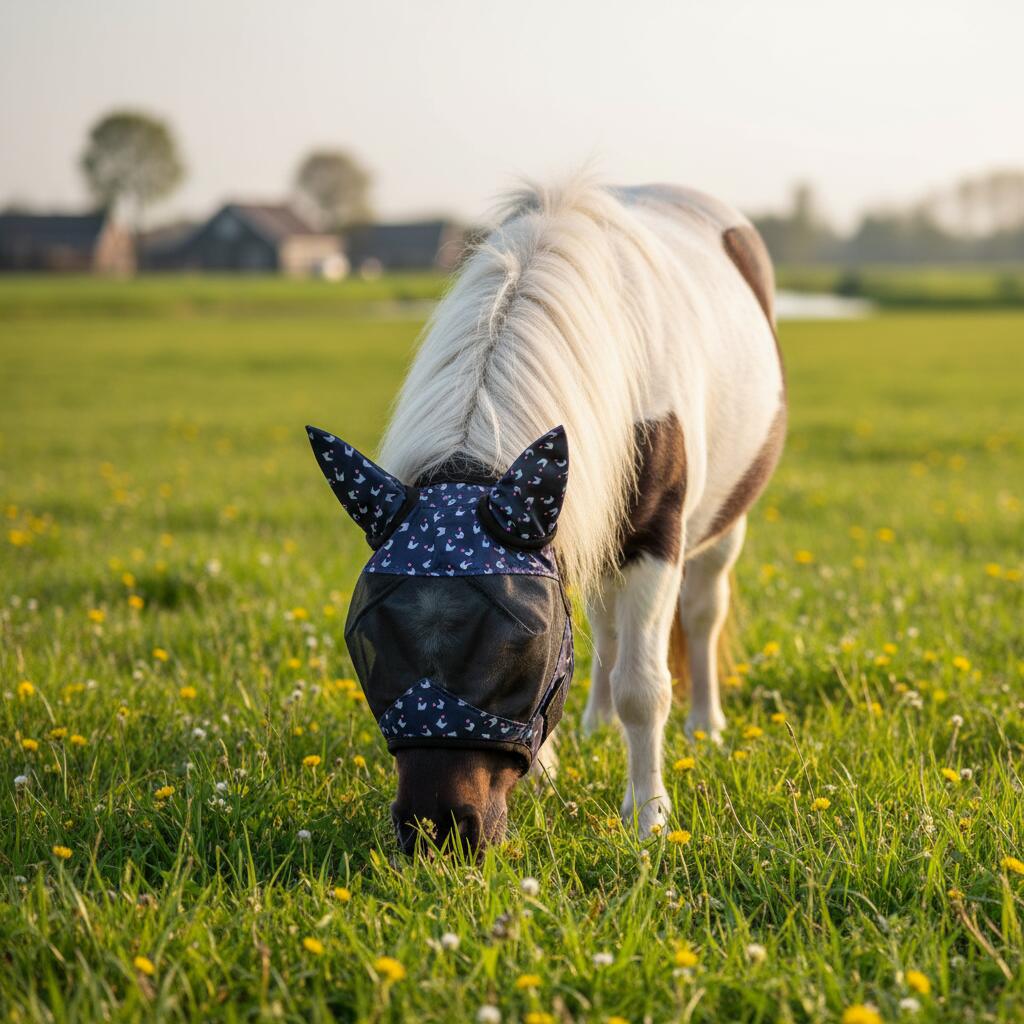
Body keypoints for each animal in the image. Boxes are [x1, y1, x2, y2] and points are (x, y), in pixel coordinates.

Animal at [307, 177, 785, 854]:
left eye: (520, 647)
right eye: (366, 639)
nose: (437, 830)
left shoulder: (656, 541)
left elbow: (645, 686)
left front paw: (648, 818)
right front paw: (548, 778)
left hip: (720, 527)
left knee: (701, 614)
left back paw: (706, 725)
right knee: (607, 627)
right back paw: (596, 723)